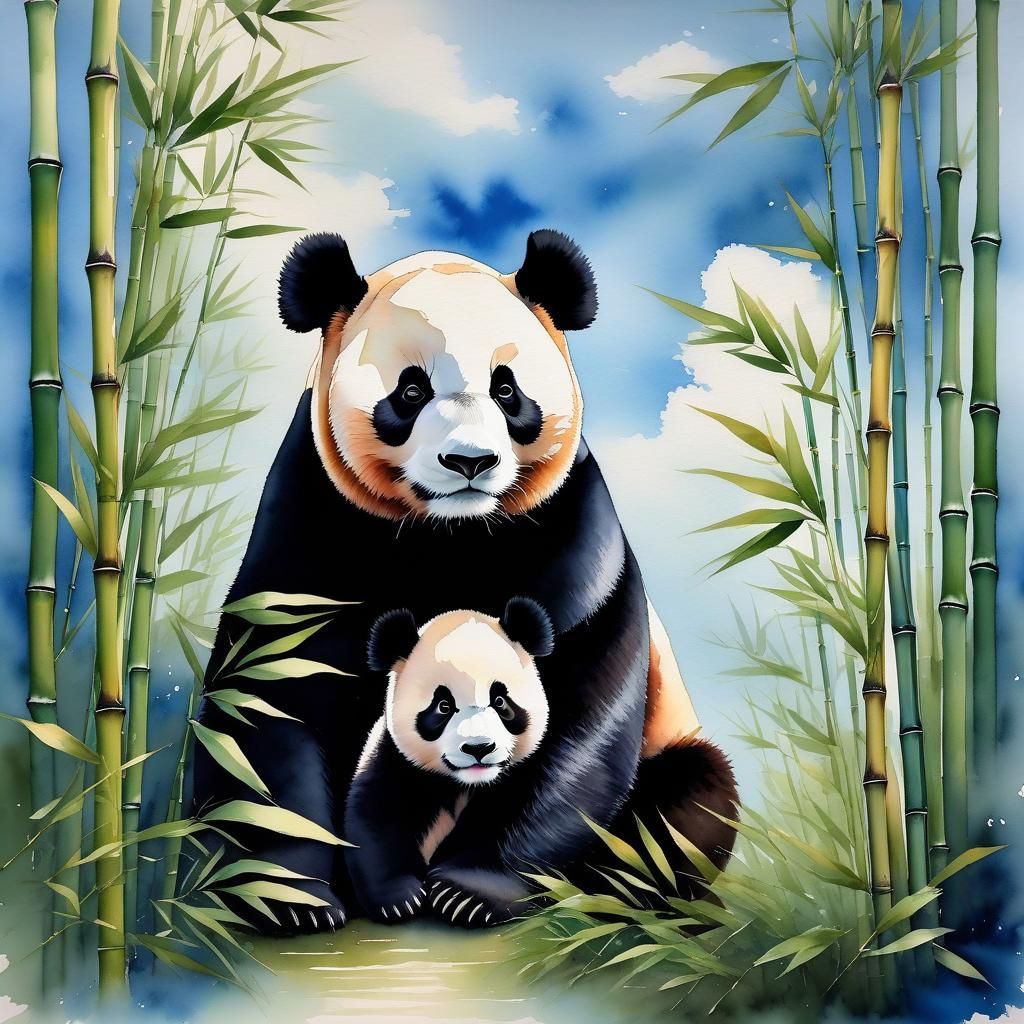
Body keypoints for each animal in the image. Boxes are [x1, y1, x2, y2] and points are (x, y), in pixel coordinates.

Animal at [193, 229, 739, 935]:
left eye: (506, 391)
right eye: (411, 391)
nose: (469, 462)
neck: (448, 533)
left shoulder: (577, 542)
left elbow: (576, 719)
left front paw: (471, 890)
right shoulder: (308, 531)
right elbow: (269, 696)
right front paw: (292, 898)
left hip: (671, 741)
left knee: (689, 800)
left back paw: (617, 894)